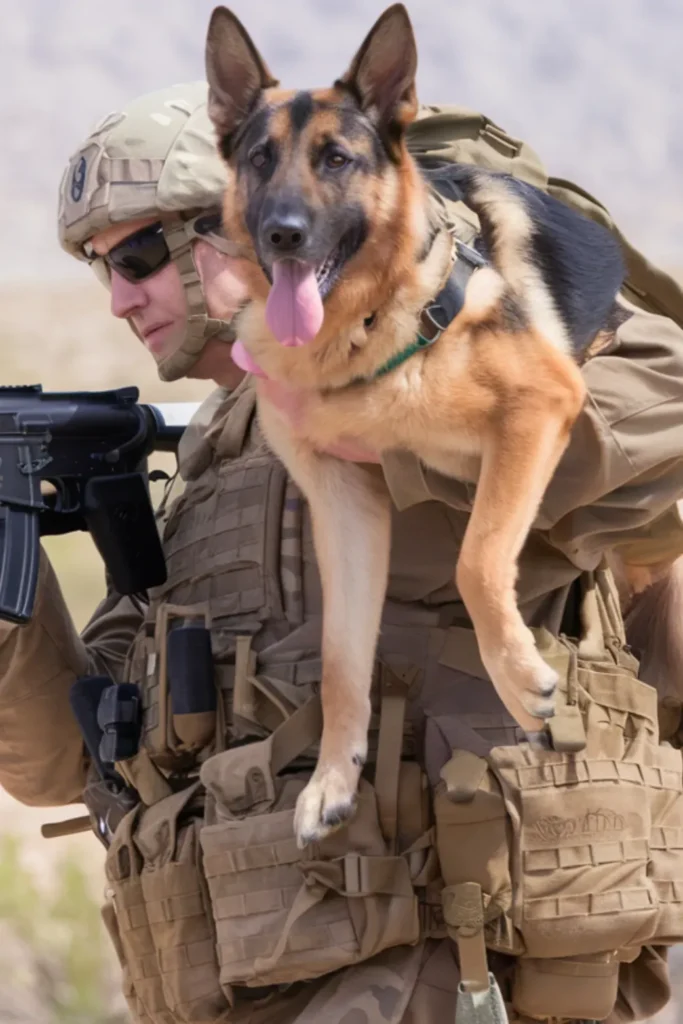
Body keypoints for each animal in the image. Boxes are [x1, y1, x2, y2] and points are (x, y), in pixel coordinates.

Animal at [206, 2, 679, 847]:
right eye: (260, 158)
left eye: (335, 159)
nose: (283, 233)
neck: (366, 326)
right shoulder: (344, 505)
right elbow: (340, 657)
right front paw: (333, 780)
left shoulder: (538, 408)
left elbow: (477, 559)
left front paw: (520, 680)